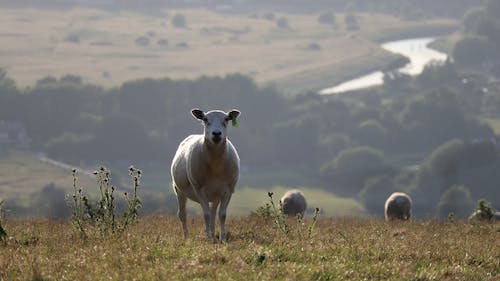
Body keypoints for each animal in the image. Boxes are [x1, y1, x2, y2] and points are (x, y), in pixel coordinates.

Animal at [170, 108, 240, 240]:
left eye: (226, 119)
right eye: (205, 119)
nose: (216, 134)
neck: (216, 165)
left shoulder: (229, 190)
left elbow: (222, 215)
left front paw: (222, 238)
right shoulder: (199, 190)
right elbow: (206, 215)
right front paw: (207, 238)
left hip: (215, 194)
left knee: (213, 214)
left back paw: (213, 235)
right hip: (179, 190)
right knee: (182, 214)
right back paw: (187, 237)